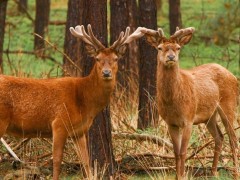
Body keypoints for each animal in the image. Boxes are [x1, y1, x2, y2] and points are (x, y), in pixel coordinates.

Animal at [0, 24, 146, 179]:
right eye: (97, 58)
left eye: (116, 58)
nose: (106, 73)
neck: (84, 102)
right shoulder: (59, 123)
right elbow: (57, 161)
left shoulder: (79, 132)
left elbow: (86, 161)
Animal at [140, 26, 239, 179]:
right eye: (159, 48)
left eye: (178, 48)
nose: (171, 57)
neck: (172, 101)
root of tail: (233, 77)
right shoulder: (170, 123)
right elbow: (176, 152)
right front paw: (177, 176)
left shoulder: (188, 119)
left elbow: (183, 151)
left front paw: (182, 176)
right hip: (209, 116)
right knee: (219, 137)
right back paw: (213, 172)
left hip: (229, 104)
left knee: (233, 139)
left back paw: (235, 173)